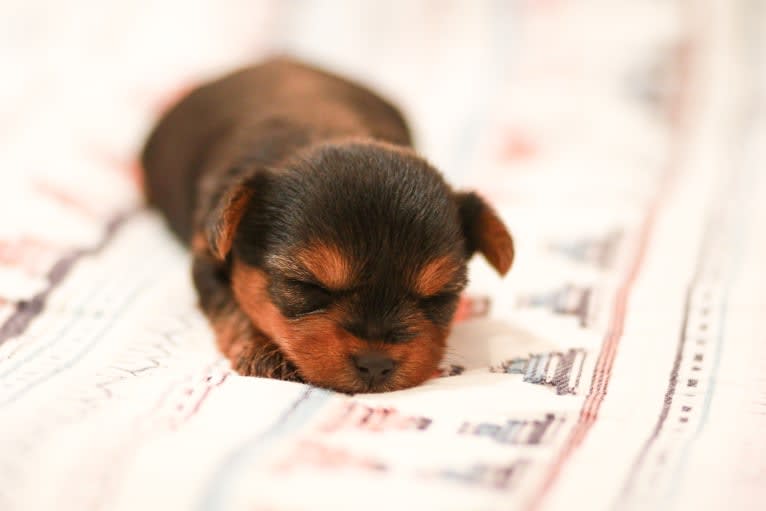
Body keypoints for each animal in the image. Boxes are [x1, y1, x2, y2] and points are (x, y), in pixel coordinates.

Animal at [144, 58, 516, 394]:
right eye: (307, 285)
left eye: (441, 297)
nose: (376, 364)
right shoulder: (207, 256)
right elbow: (233, 308)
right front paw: (264, 353)